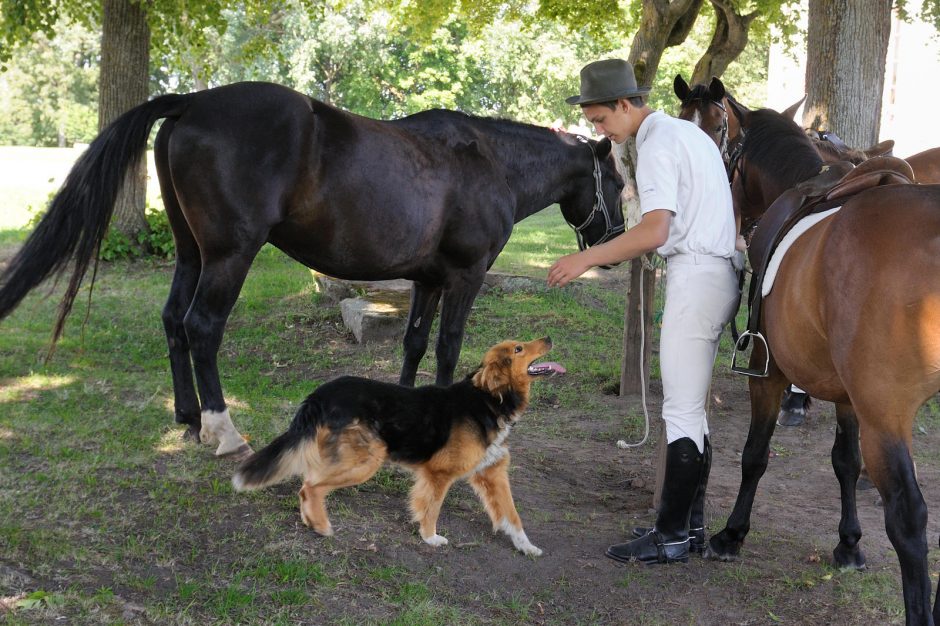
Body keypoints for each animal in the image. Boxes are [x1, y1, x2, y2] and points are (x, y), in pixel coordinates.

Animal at [0, 79, 624, 458]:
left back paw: (188, 418)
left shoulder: (427, 280)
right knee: (202, 326)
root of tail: (191, 101)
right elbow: (448, 348)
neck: (487, 161)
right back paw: (224, 430)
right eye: (617, 181)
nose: (614, 237)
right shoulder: (463, 277)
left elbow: (414, 345)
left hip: (192, 253)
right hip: (229, 255)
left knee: (174, 319)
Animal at [232, 334, 560, 552]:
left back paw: (309, 519)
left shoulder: (492, 473)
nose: (548, 338)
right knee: (310, 486)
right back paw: (322, 526)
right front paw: (429, 537)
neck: (489, 399)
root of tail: (320, 394)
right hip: (367, 460)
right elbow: (431, 507)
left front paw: (526, 547)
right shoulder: (439, 474)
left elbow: (512, 515)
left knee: (307, 483)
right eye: (519, 349)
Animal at [708, 100, 940, 620]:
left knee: (908, 517)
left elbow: (755, 454)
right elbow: (844, 461)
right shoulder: (849, 396)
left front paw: (732, 533)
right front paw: (849, 543)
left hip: (887, 418)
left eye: (727, 151)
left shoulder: (769, 372)